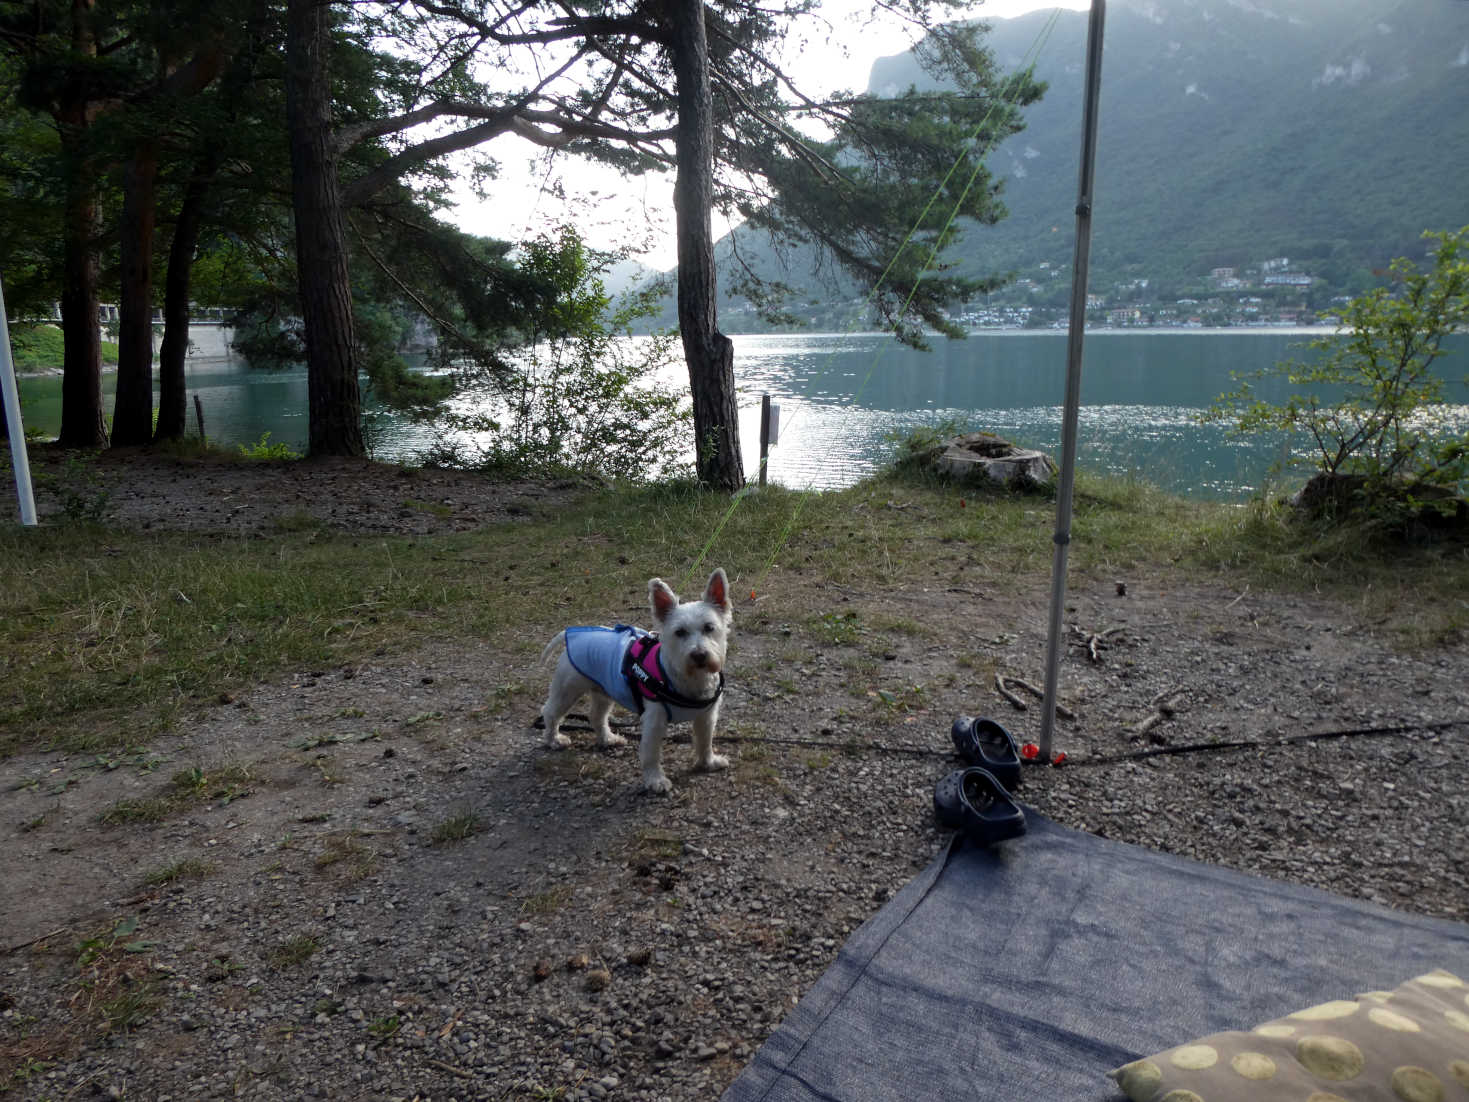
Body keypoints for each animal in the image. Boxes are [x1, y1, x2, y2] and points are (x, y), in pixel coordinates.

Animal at [540, 570, 734, 793]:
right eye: (679, 632)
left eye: (709, 627)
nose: (699, 655)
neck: (688, 678)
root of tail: (575, 633)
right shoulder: (654, 721)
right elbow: (651, 753)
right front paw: (655, 780)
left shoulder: (706, 717)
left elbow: (704, 741)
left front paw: (708, 763)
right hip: (567, 690)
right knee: (551, 712)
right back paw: (554, 740)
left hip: (603, 691)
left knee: (596, 716)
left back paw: (608, 739)